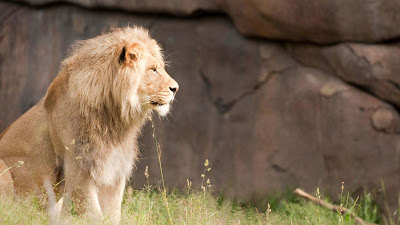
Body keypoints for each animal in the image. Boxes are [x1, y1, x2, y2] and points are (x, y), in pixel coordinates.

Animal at [0, 26, 178, 223]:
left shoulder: (114, 168)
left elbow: (113, 212)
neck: (114, 118)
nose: (175, 88)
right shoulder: (79, 167)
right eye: (153, 70)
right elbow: (92, 212)